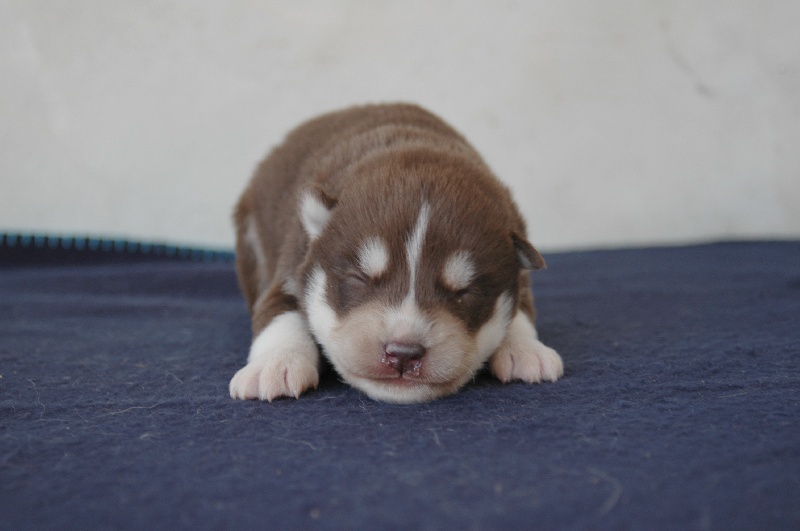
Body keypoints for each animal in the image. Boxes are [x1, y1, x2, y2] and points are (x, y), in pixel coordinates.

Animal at [229, 103, 563, 403]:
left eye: (465, 292)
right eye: (360, 279)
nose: (403, 354)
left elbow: (521, 310)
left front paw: (526, 350)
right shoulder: (291, 266)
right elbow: (280, 314)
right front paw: (275, 366)